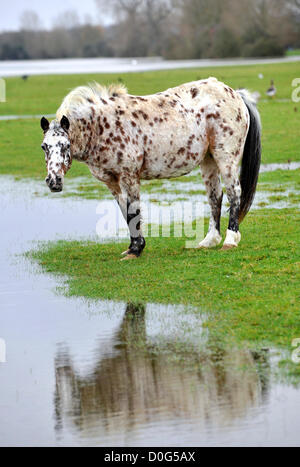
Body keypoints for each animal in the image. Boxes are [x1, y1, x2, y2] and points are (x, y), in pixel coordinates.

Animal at [41, 77, 262, 260]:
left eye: (65, 145)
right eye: (44, 146)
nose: (54, 182)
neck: (102, 127)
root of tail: (235, 94)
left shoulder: (129, 176)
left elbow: (133, 211)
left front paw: (136, 250)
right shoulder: (112, 183)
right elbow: (125, 211)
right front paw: (132, 248)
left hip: (226, 157)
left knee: (234, 193)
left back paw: (230, 240)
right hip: (208, 161)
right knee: (215, 197)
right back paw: (209, 241)